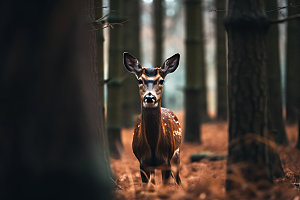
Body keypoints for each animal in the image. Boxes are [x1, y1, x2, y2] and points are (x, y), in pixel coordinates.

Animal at [122, 52, 183, 186]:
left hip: (176, 154)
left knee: (178, 179)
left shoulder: (166, 161)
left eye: (161, 81)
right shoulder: (142, 163)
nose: (150, 97)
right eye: (140, 80)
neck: (153, 147)